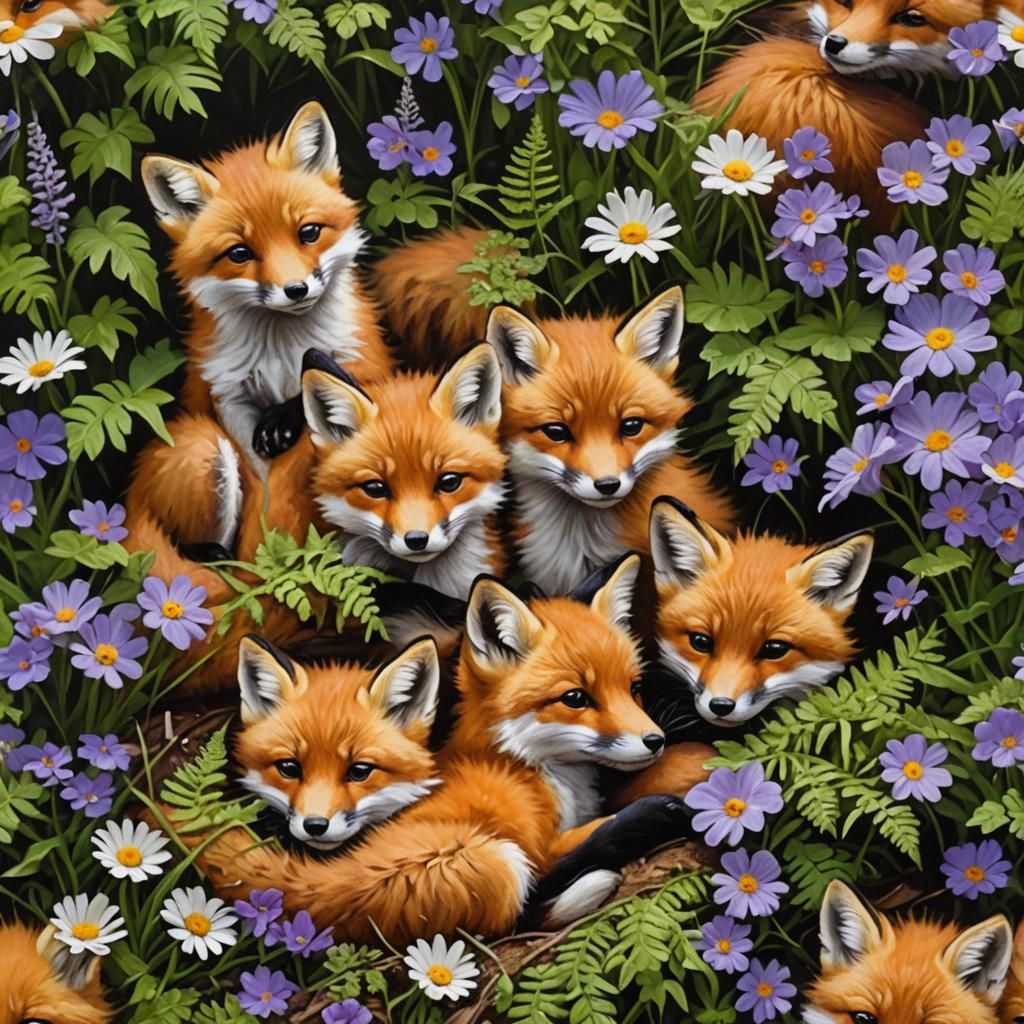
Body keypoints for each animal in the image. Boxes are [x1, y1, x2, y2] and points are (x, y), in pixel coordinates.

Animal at [181, 558, 700, 941]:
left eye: (633, 689)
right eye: (576, 698)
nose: (656, 741)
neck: (519, 764)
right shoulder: (534, 844)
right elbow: (581, 848)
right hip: (493, 861)